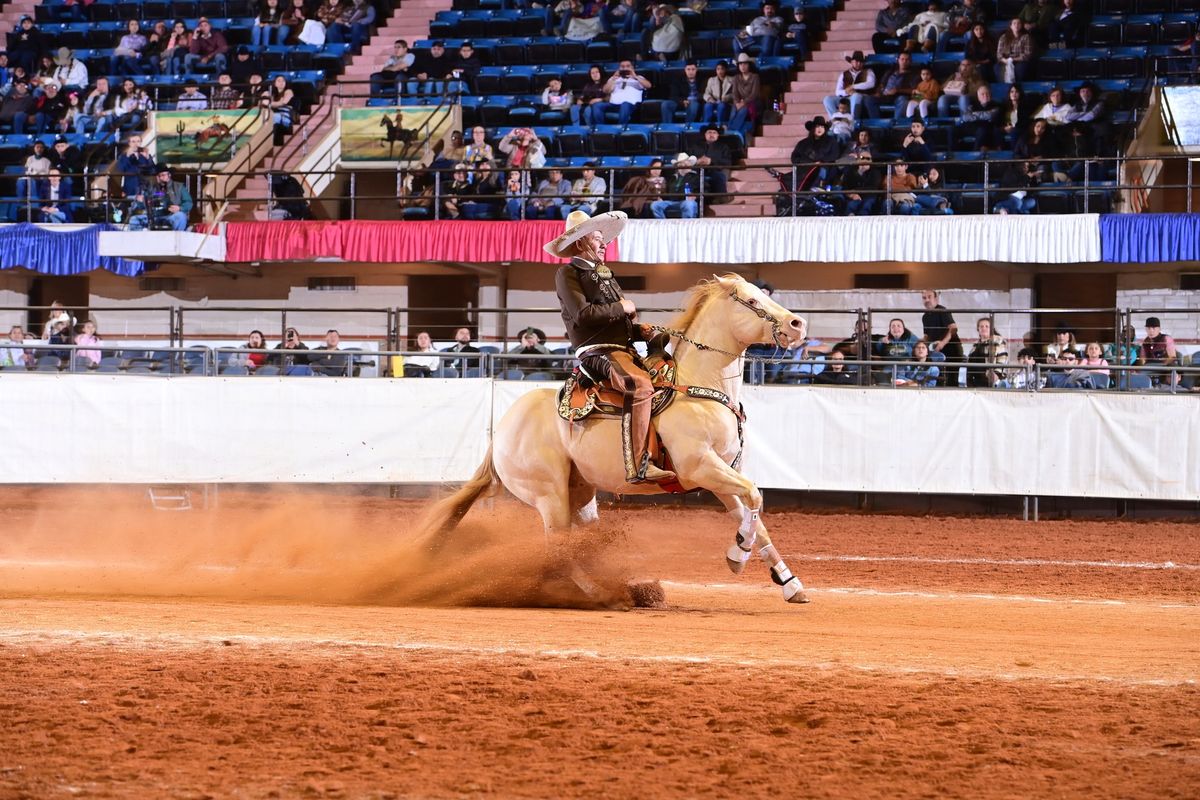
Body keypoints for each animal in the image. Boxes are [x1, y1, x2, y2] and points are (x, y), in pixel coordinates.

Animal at [422, 278, 816, 604]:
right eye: (751, 300)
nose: (797, 325)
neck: (697, 388)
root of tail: (501, 430)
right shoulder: (701, 467)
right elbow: (756, 497)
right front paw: (737, 555)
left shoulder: (722, 473)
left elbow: (755, 516)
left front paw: (789, 583)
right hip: (550, 497)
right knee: (558, 550)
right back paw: (601, 594)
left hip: (580, 494)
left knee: (578, 544)